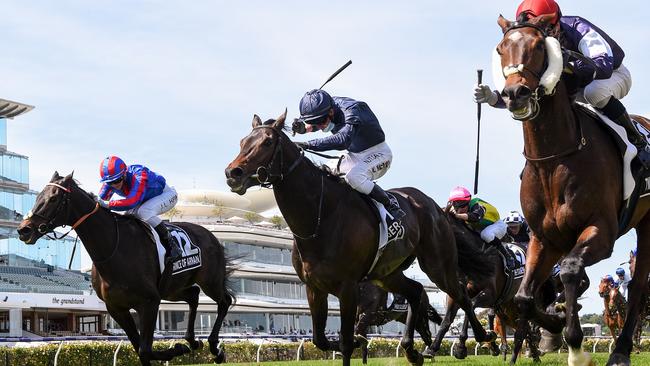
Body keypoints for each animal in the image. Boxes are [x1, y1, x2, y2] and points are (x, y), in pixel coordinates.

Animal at [15, 172, 235, 366]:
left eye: (53, 198)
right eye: (38, 197)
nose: (24, 230)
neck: (114, 248)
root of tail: (211, 235)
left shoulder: (149, 302)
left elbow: (145, 349)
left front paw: (177, 349)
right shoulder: (116, 308)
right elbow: (140, 350)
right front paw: (179, 347)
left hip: (210, 281)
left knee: (224, 301)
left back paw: (215, 348)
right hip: (172, 289)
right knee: (193, 295)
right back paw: (192, 340)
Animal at [225, 112, 494, 366]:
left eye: (267, 142)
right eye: (242, 142)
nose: (232, 173)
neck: (320, 217)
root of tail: (437, 208)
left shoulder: (348, 287)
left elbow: (346, 341)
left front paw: (354, 342)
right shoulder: (314, 288)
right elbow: (320, 340)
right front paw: (354, 343)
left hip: (437, 264)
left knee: (460, 294)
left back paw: (480, 339)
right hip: (387, 274)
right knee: (416, 291)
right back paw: (412, 350)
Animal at [492, 14, 648, 366]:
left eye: (539, 46)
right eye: (501, 48)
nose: (515, 93)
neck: (554, 159)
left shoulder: (601, 231)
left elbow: (570, 271)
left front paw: (576, 347)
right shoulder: (544, 238)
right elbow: (524, 296)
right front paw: (548, 326)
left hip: (648, 225)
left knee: (639, 287)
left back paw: (620, 351)